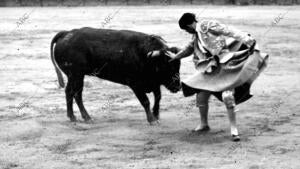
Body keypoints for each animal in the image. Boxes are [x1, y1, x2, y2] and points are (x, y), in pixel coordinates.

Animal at [50, 27, 180, 124]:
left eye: (178, 66)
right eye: (166, 66)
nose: (177, 87)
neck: (145, 56)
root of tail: (66, 33)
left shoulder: (154, 83)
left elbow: (158, 97)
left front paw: (156, 115)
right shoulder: (135, 84)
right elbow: (145, 101)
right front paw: (152, 119)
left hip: (76, 76)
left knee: (73, 92)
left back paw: (78, 117)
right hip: (76, 75)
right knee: (74, 93)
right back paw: (81, 117)